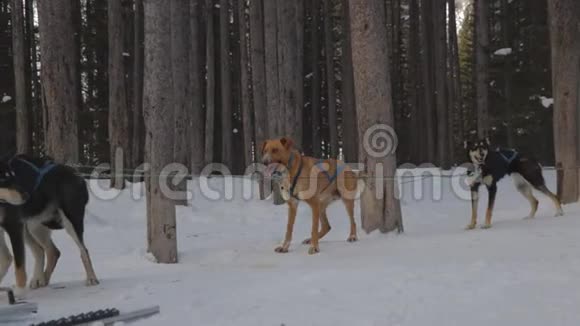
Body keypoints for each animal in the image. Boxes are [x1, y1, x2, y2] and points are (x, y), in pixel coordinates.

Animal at [0, 153, 98, 292]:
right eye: (3, 179)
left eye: (12, 176)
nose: (27, 196)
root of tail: (76, 173)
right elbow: (6, 259)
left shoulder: (14, 226)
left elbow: (19, 268)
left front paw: (19, 292)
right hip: (33, 227)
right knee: (49, 251)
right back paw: (41, 279)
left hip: (70, 223)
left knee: (83, 250)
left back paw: (91, 278)